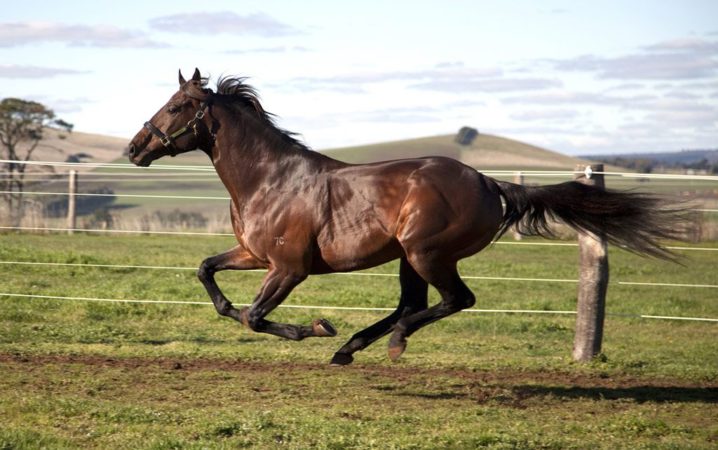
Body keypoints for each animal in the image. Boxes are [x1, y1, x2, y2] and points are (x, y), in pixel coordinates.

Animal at [129, 69, 688, 366]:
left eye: (176, 105)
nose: (135, 148)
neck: (271, 179)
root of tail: (490, 183)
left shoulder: (288, 268)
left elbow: (253, 316)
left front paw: (316, 327)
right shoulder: (251, 254)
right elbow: (209, 275)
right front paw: (321, 330)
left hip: (427, 252)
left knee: (452, 301)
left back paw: (385, 343)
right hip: (407, 257)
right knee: (412, 304)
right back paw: (350, 348)